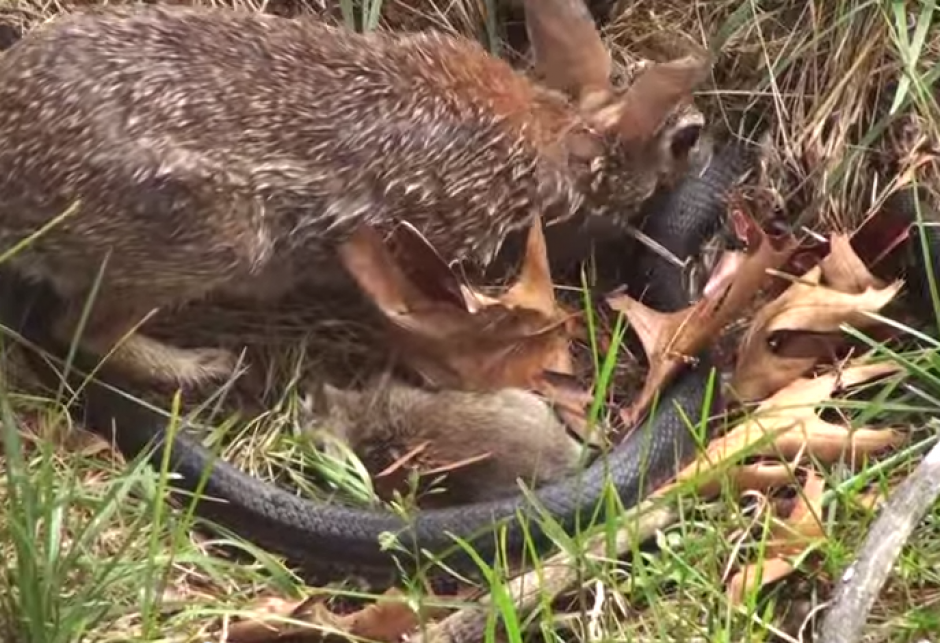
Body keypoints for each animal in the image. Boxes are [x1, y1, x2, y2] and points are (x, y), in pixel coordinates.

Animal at [0, 0, 708, 390]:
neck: (553, 141)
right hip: (207, 242)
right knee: (85, 330)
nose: (700, 150)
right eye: (684, 142)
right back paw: (200, 367)